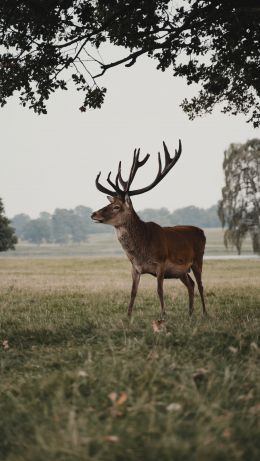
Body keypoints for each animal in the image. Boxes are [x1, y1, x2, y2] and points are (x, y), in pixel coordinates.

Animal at [91, 140, 207, 318]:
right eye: (110, 203)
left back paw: (205, 313)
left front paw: (163, 315)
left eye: (116, 206)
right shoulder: (135, 268)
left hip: (197, 259)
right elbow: (133, 292)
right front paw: (128, 316)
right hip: (181, 271)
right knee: (191, 284)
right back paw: (190, 314)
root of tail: (201, 232)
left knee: (200, 285)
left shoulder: (161, 263)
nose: (94, 214)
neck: (142, 250)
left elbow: (159, 290)